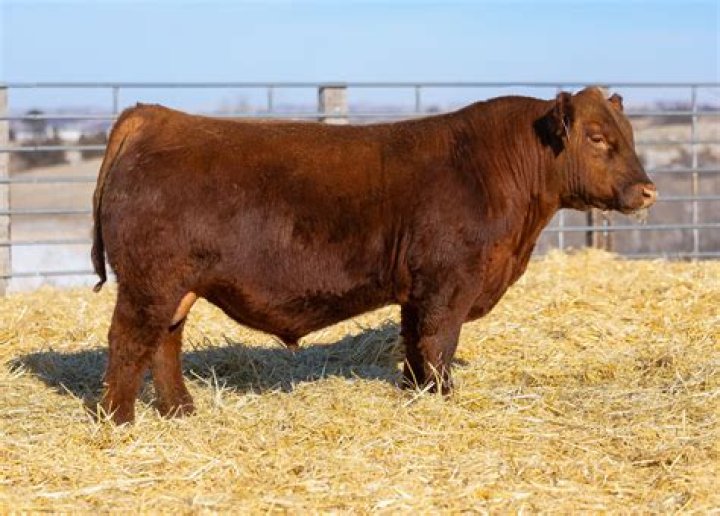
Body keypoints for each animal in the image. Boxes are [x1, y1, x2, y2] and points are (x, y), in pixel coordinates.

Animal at [91, 86, 657, 424]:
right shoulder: (448, 284)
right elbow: (437, 344)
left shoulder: (417, 291)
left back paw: (180, 411)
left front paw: (416, 396)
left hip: (175, 287)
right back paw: (120, 421)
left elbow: (414, 346)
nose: (647, 190)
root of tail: (155, 117)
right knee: (129, 342)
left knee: (164, 343)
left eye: (628, 135)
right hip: (149, 283)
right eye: (597, 137)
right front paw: (443, 401)